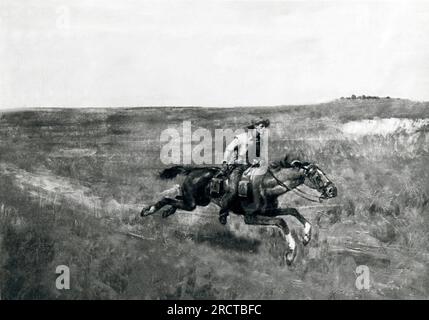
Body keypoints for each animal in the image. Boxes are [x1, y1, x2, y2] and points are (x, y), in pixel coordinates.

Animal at [142, 157, 336, 264]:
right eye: (316, 175)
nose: (332, 190)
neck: (265, 184)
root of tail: (192, 170)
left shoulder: (268, 211)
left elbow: (293, 211)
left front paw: (307, 236)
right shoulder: (251, 217)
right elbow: (282, 222)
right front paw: (290, 254)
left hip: (198, 202)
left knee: (175, 199)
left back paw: (166, 212)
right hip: (193, 203)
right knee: (168, 199)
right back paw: (147, 211)